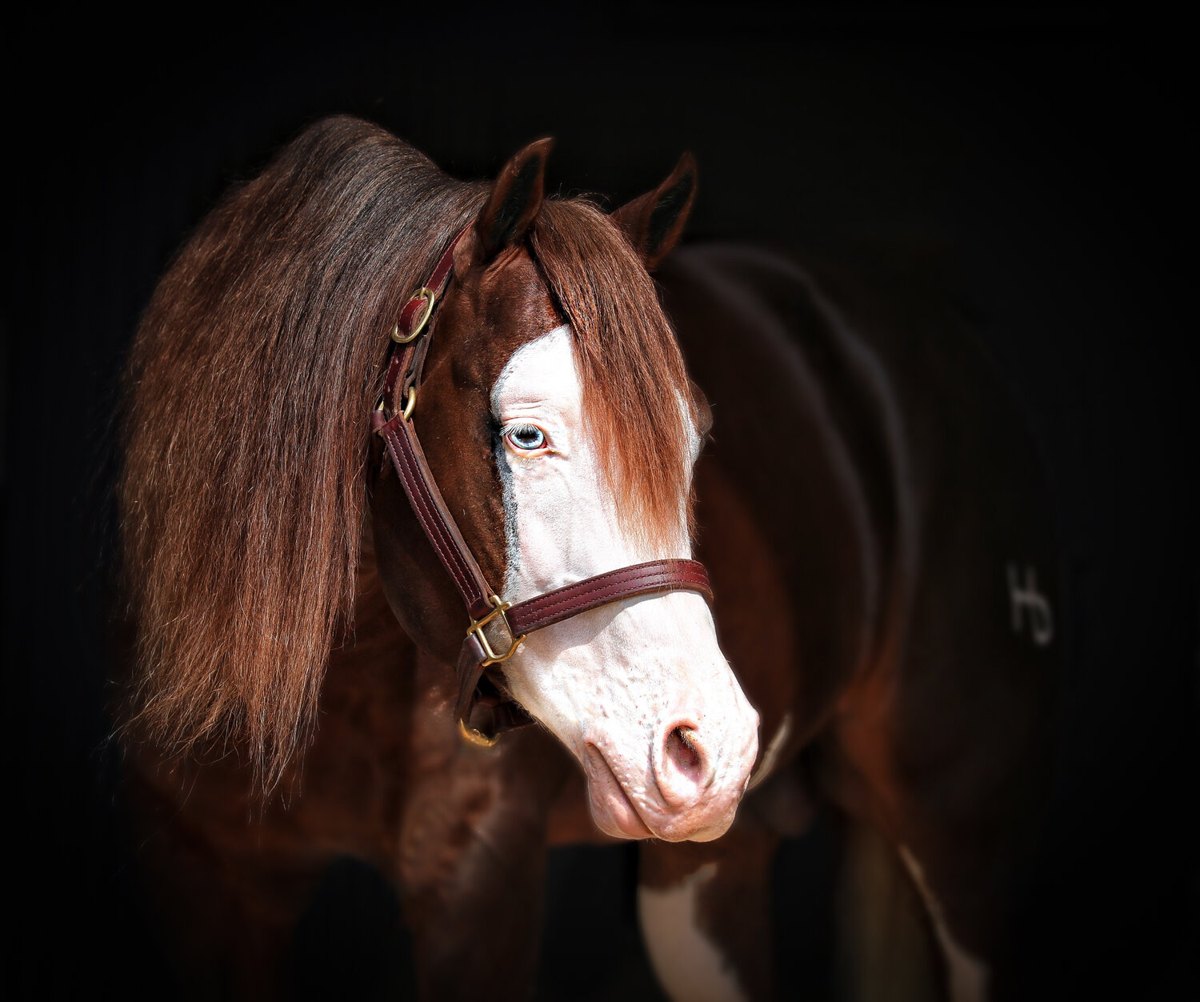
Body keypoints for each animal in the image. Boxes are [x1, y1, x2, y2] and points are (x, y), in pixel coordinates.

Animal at [117, 115, 1058, 1001]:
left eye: (693, 438)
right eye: (527, 436)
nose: (709, 744)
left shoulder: (477, 886)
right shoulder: (203, 877)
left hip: (961, 833)